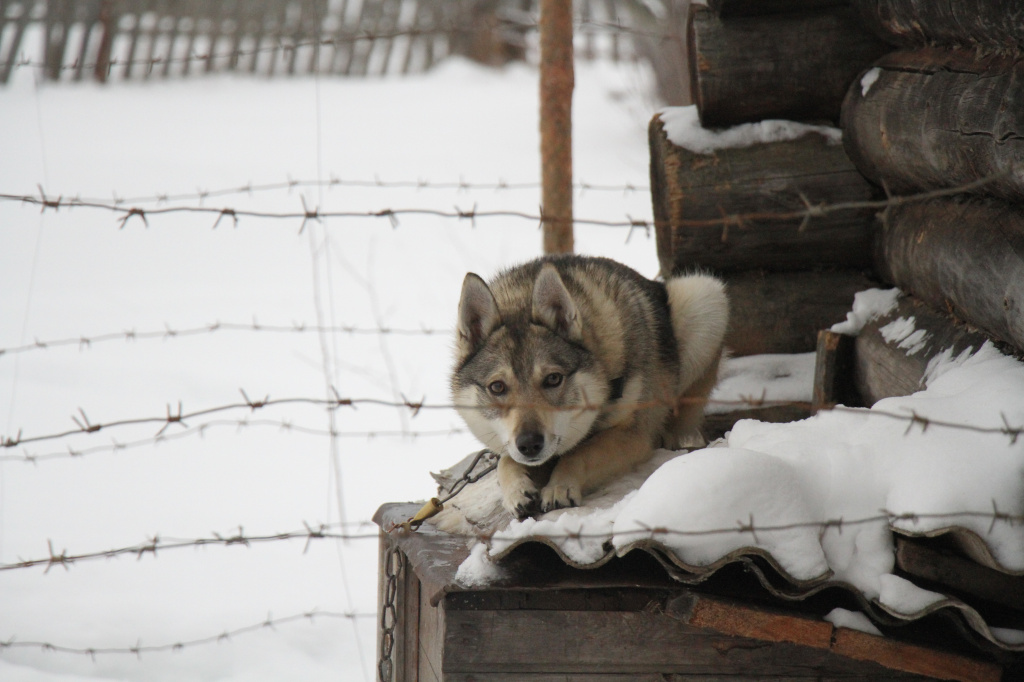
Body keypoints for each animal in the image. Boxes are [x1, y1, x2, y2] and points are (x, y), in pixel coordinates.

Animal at [450, 253, 729, 516]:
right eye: (497, 387)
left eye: (553, 379)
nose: (529, 444)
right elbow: (505, 462)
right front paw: (517, 492)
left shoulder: (633, 435)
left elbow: (579, 454)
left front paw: (560, 487)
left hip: (704, 295)